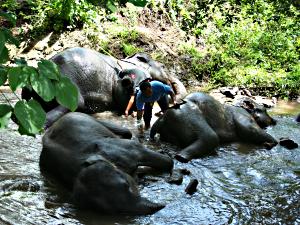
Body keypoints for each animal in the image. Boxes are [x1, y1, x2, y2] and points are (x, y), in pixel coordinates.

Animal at [149, 92, 278, 163]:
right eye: (264, 109)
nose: (275, 121)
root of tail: (162, 120)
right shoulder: (241, 114)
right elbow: (249, 130)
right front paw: (273, 142)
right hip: (188, 117)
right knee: (210, 138)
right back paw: (181, 157)